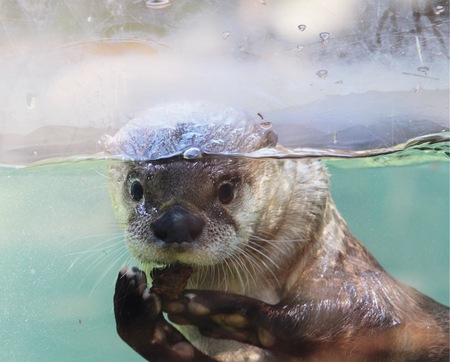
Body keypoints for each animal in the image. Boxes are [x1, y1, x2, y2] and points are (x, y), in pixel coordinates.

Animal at [103, 102, 448, 362]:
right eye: (136, 189)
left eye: (226, 190)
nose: (175, 223)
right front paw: (139, 314)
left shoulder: (370, 294)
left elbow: (344, 318)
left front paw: (219, 310)